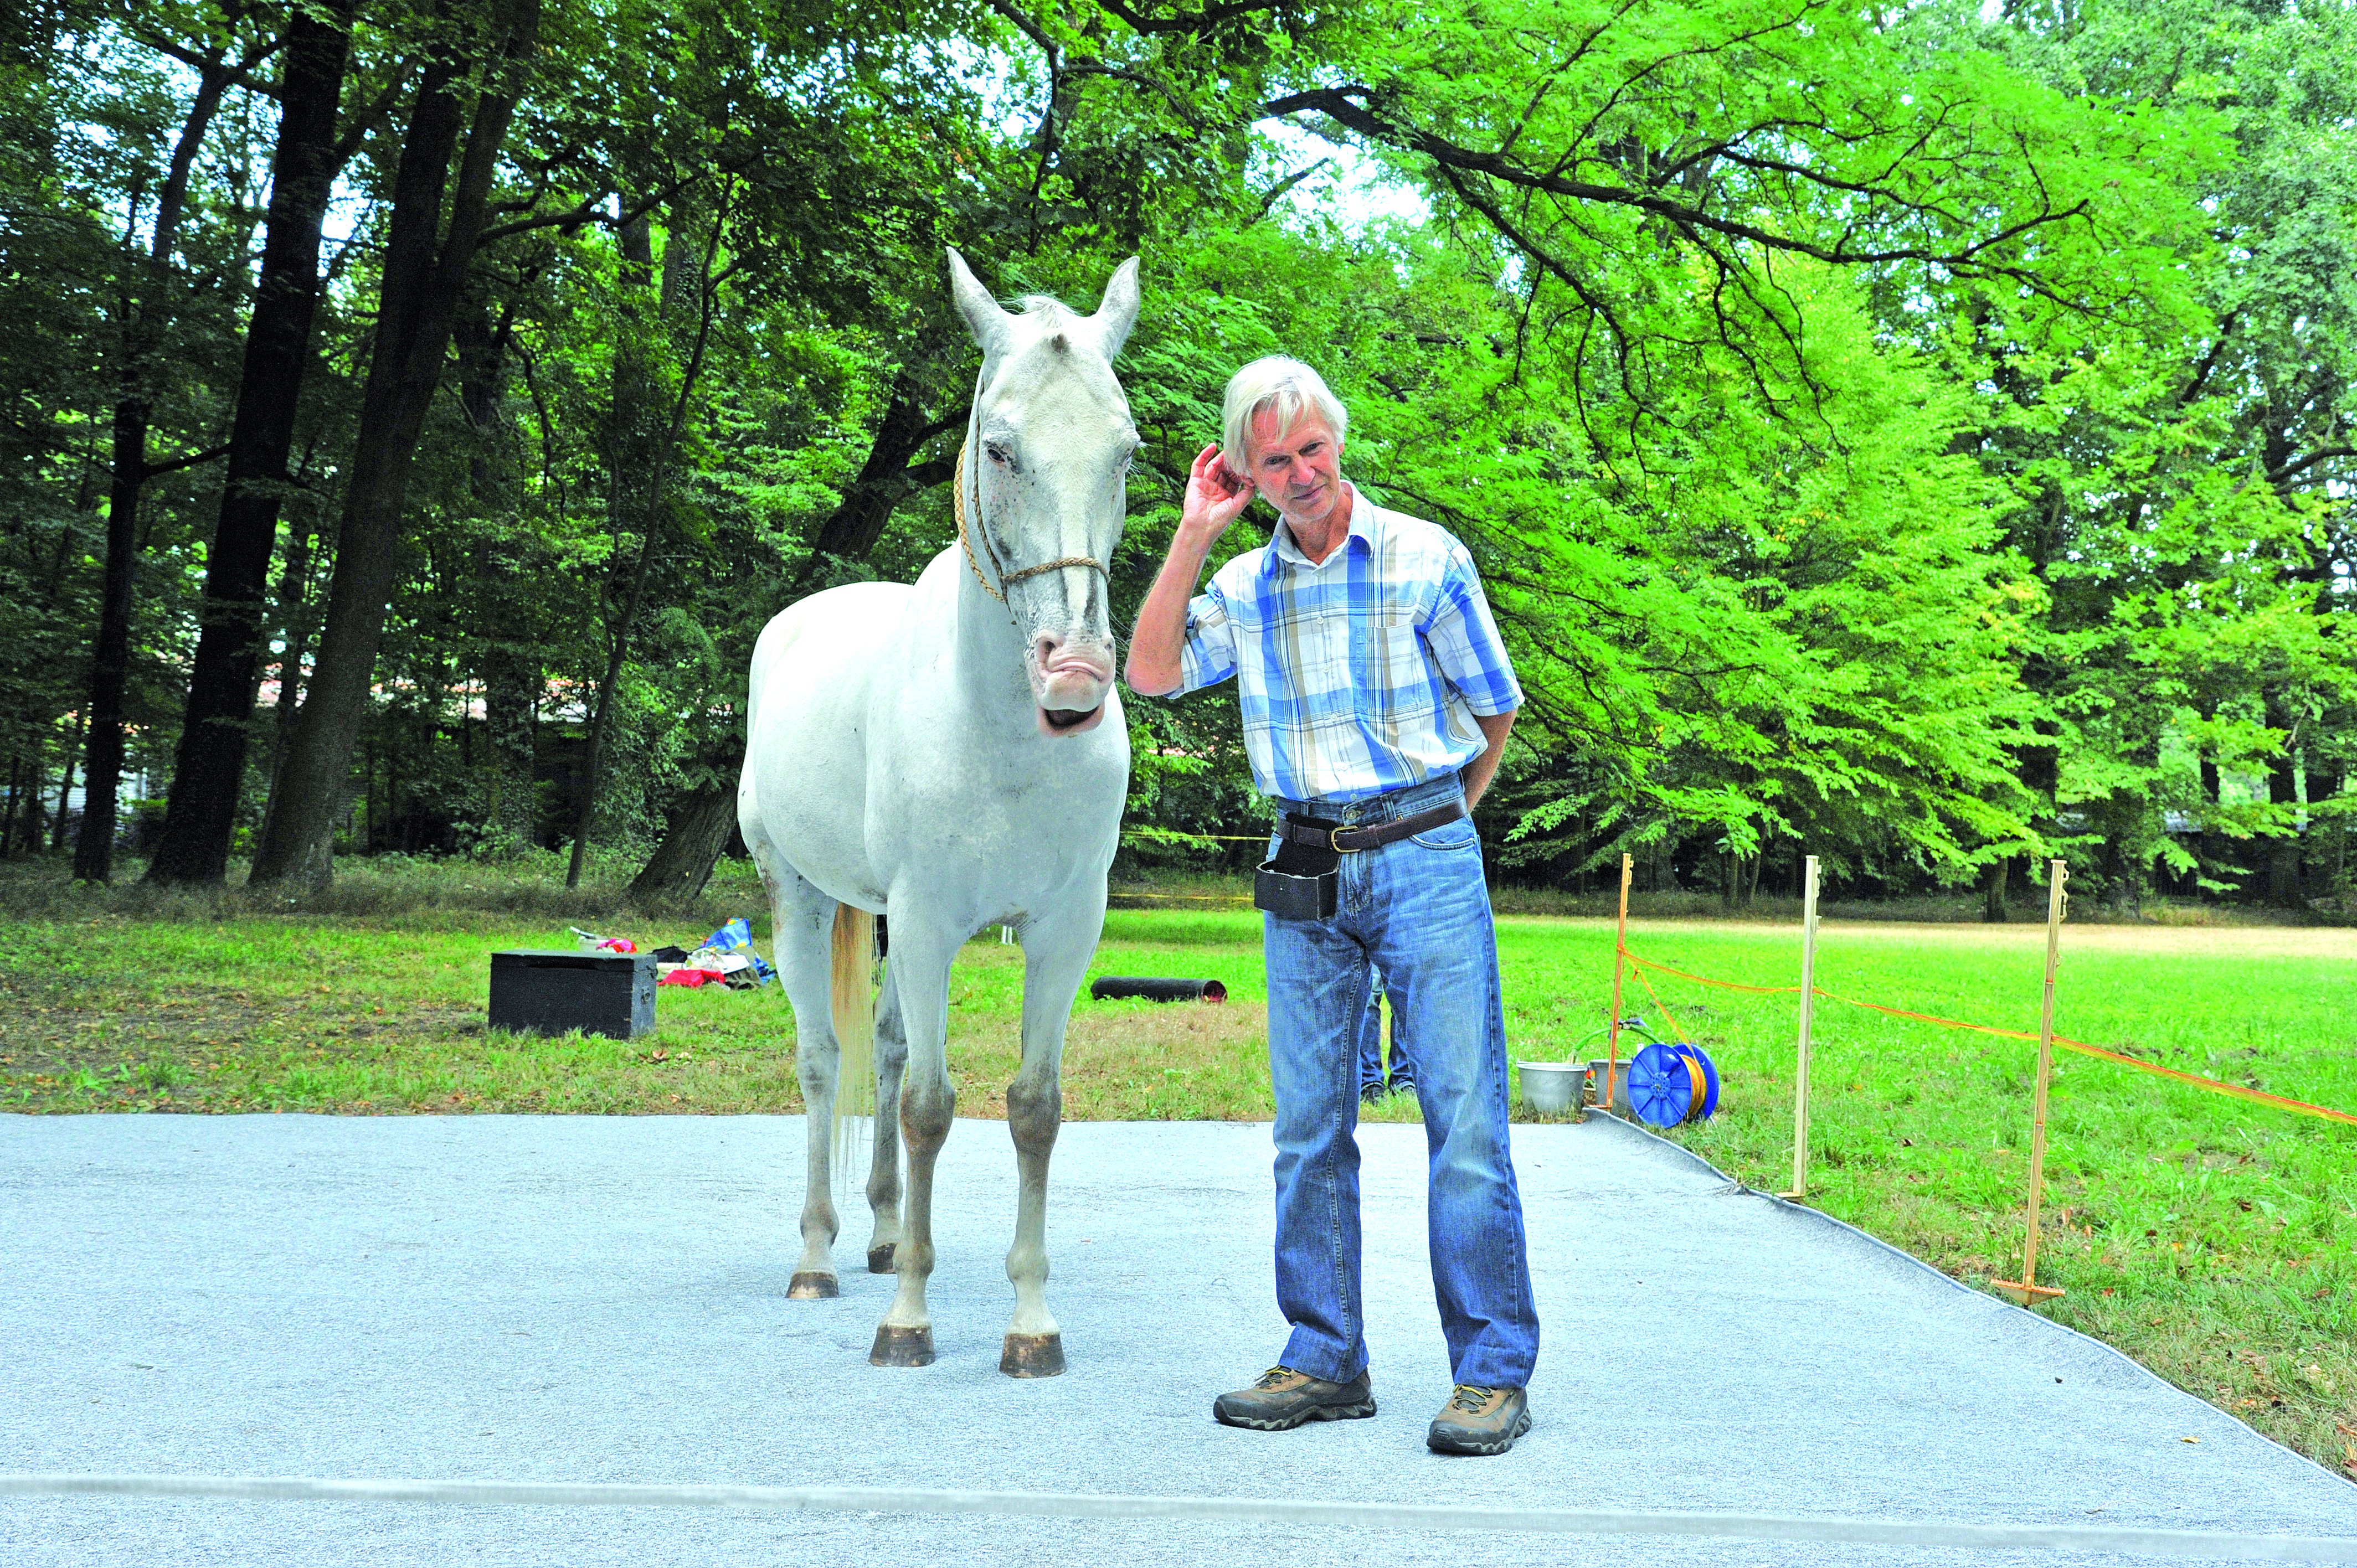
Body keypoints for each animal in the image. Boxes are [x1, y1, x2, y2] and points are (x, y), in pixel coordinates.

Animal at [740, 245, 1136, 1368]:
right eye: (999, 449)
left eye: (1127, 452)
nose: (1075, 671)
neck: (1006, 736)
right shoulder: (925, 923)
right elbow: (926, 1107)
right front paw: (909, 1322)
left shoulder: (1063, 928)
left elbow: (1032, 1109)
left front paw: (1031, 1325)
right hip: (802, 900)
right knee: (826, 1064)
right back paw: (821, 1257)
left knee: (880, 1048)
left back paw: (880, 1235)